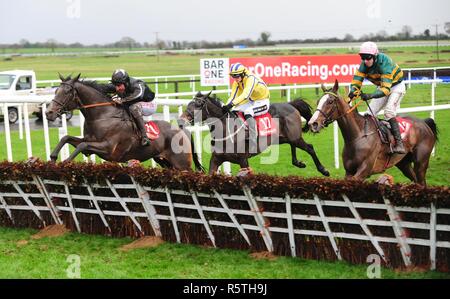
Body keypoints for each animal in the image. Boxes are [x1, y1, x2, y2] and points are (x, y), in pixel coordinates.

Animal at [46, 74, 202, 171]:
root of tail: (183, 130)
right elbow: (67, 138)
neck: (102, 116)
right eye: (56, 91)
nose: (49, 112)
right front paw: (53, 158)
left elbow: (82, 145)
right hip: (164, 162)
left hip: (181, 164)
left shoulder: (108, 148)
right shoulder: (89, 142)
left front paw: (66, 162)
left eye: (67, 92)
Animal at [179, 91, 330, 176]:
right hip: (284, 137)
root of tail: (290, 104)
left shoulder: (243, 160)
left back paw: (323, 170)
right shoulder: (216, 159)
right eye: (189, 103)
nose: (181, 120)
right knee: (293, 144)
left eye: (198, 105)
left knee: (310, 148)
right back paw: (298, 162)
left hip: (295, 137)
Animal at [308, 81, 438, 186]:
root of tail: (424, 123)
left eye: (330, 101)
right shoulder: (349, 172)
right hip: (403, 163)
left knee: (422, 182)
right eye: (318, 101)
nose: (313, 123)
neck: (357, 136)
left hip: (421, 162)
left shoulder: (364, 171)